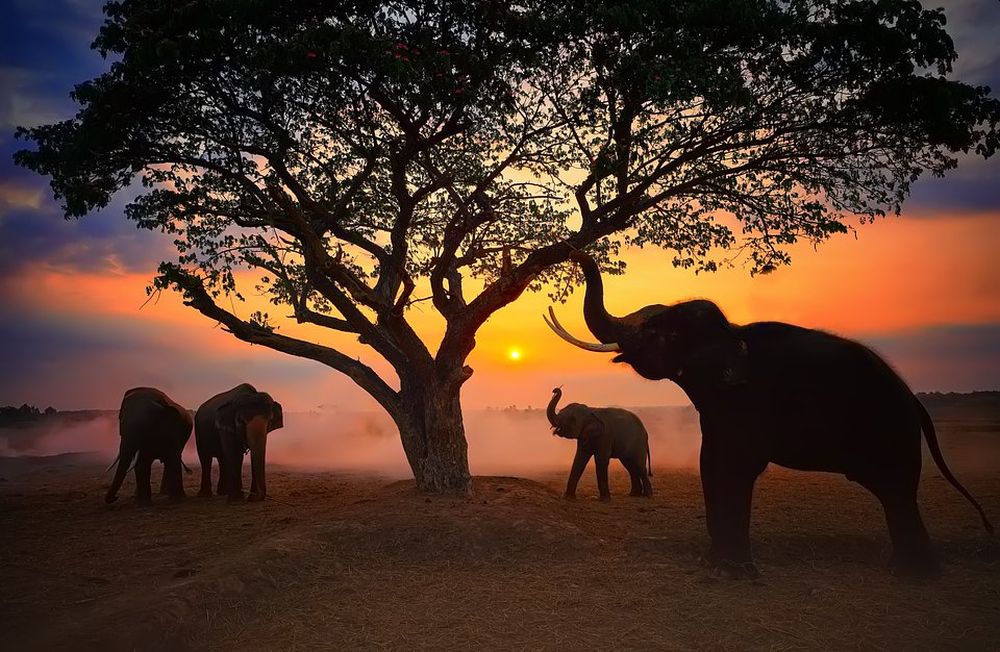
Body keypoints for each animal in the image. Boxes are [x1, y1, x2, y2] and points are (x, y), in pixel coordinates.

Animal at [548, 252, 992, 580]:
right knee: (894, 494)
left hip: (891, 431)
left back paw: (914, 575)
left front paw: (733, 573)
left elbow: (735, 467)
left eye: (663, 332)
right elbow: (711, 464)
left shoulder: (749, 403)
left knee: (898, 492)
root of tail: (914, 401)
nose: (568, 246)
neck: (732, 331)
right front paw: (715, 565)